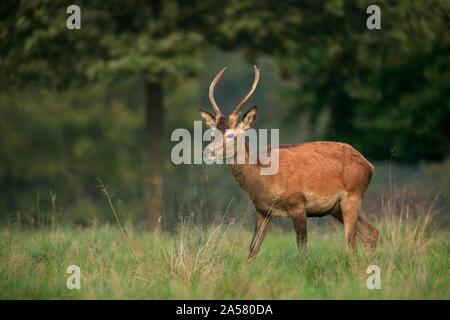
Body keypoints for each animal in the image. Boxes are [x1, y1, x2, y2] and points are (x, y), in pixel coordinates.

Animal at [199, 65, 378, 260]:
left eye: (232, 134)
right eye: (212, 134)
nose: (207, 152)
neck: (265, 179)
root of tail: (369, 165)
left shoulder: (298, 204)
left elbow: (302, 247)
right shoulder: (263, 210)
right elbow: (252, 249)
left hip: (352, 197)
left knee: (351, 244)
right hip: (336, 208)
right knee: (371, 232)